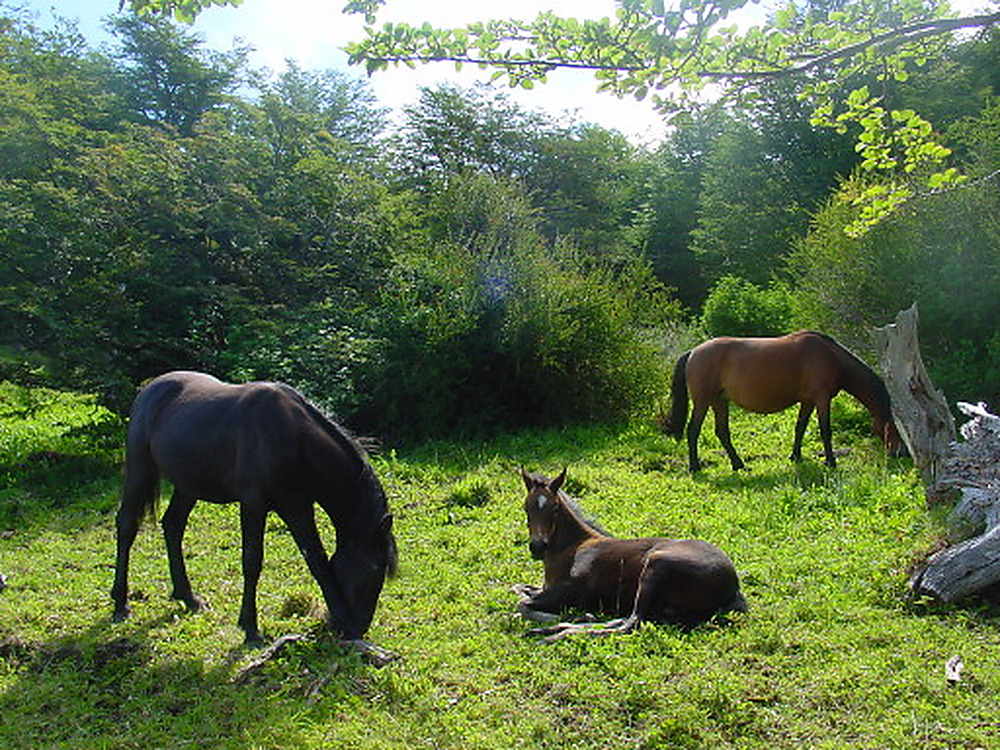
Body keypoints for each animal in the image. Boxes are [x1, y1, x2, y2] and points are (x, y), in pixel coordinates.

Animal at [111, 371, 398, 645]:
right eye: (375, 569)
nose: (362, 624)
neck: (294, 439)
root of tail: (149, 389)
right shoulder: (253, 504)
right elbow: (252, 561)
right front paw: (250, 628)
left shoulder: (298, 508)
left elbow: (318, 561)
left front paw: (345, 624)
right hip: (140, 468)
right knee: (127, 526)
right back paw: (120, 603)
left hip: (187, 485)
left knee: (173, 525)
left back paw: (188, 597)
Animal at [515, 468, 745, 640]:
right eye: (526, 507)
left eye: (554, 508)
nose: (538, 546)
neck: (572, 547)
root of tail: (733, 585)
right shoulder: (546, 588)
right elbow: (520, 589)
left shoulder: (574, 588)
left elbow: (523, 603)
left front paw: (553, 617)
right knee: (624, 620)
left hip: (655, 568)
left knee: (630, 624)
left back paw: (554, 633)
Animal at [666, 331, 901, 472]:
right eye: (894, 427)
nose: (899, 453)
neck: (831, 357)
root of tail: (693, 352)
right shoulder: (822, 398)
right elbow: (825, 430)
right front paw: (830, 461)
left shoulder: (808, 401)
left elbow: (800, 427)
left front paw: (795, 456)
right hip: (703, 401)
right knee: (693, 430)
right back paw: (695, 466)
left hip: (719, 401)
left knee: (722, 432)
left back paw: (738, 464)